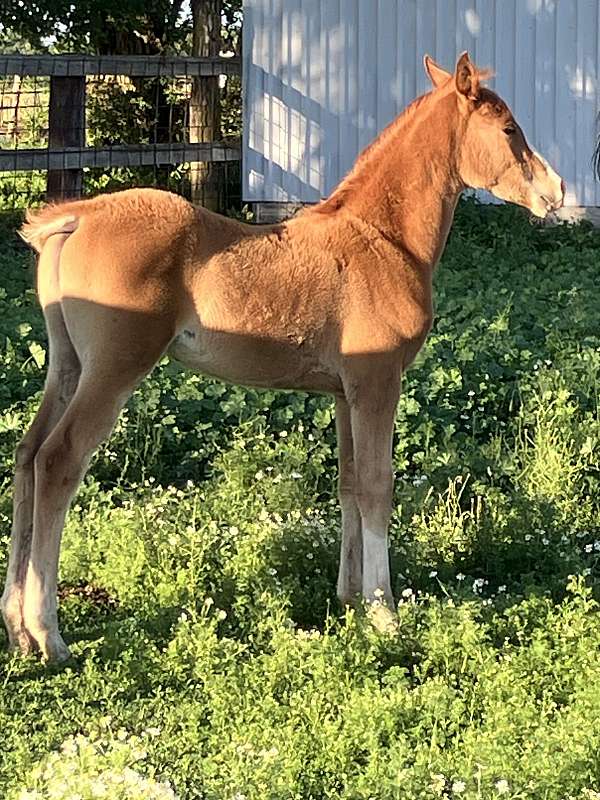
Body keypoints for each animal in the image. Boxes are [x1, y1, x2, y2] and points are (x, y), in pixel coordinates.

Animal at [1, 53, 564, 661]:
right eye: (508, 129)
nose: (555, 191)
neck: (384, 241)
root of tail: (77, 217)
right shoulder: (378, 382)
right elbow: (376, 485)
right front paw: (384, 613)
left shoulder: (344, 393)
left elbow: (348, 484)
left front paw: (349, 600)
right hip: (113, 370)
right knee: (58, 461)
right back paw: (48, 633)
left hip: (68, 367)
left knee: (27, 456)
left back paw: (16, 627)